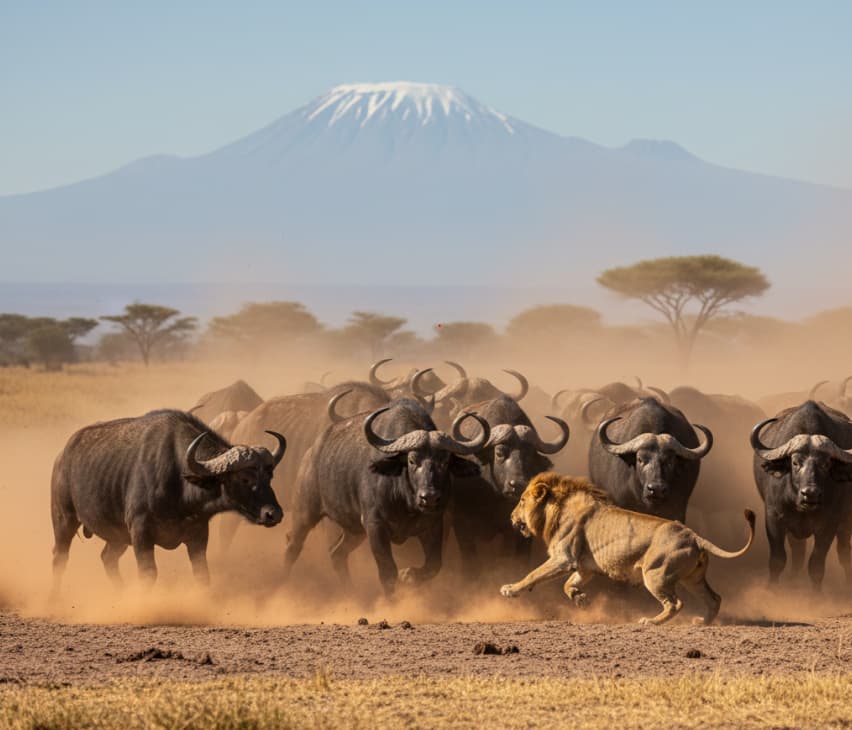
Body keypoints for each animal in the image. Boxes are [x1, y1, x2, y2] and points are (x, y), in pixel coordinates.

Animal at [499, 472, 755, 625]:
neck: (556, 510)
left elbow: (533, 574)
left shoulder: (564, 558)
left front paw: (511, 589)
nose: (510, 516)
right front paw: (581, 600)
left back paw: (650, 622)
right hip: (692, 578)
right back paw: (702, 622)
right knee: (714, 599)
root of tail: (694, 536)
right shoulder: (585, 567)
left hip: (655, 574)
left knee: (675, 603)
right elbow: (567, 584)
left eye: (521, 501)